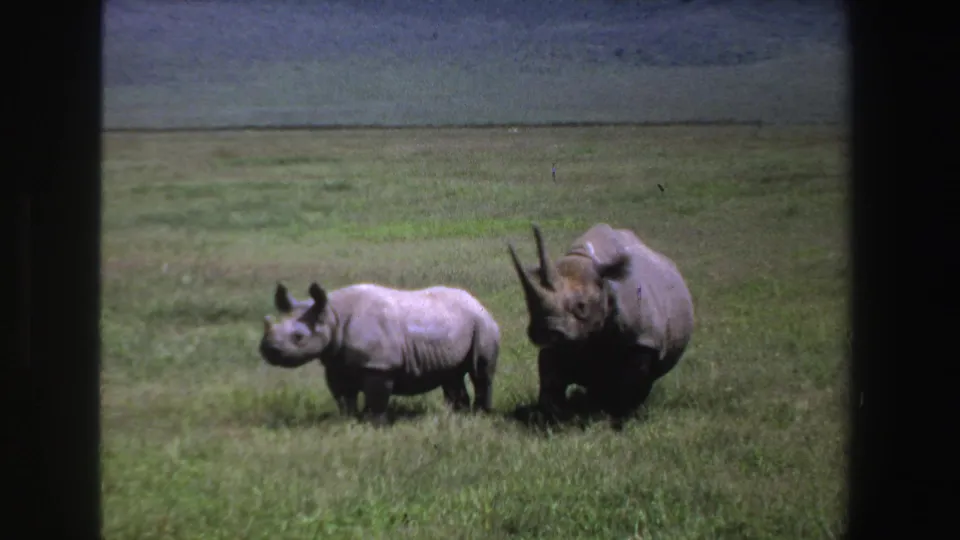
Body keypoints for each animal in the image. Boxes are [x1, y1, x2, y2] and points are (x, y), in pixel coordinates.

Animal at [259, 281, 501, 425]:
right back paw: (458, 415)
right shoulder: (336, 362)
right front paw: (349, 421)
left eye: (299, 337)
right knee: (451, 375)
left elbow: (376, 398)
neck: (332, 315)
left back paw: (481, 415)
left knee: (480, 372)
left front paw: (374, 425)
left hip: (483, 324)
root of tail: (478, 302)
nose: (268, 350)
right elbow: (343, 397)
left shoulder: (379, 364)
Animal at [506, 223, 694, 424]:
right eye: (529, 305)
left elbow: (632, 382)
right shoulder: (560, 341)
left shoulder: (643, 339)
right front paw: (551, 417)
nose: (545, 331)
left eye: (581, 306)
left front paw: (620, 419)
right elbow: (550, 378)